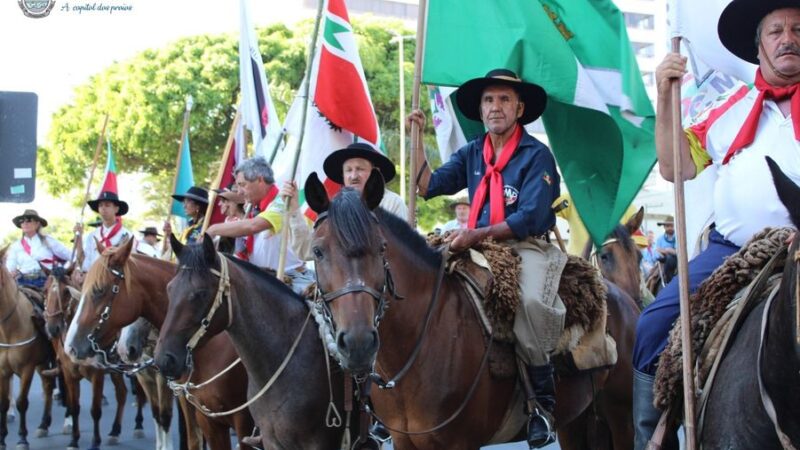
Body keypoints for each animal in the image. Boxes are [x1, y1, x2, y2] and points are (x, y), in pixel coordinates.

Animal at [0, 246, 57, 450]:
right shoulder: (3, 371)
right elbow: (4, 402)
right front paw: (3, 439)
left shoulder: (27, 369)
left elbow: (21, 402)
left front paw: (22, 439)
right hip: (42, 364)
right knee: (48, 386)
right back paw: (43, 424)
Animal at [42, 264, 128, 450]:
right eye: (45, 290)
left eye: (66, 292)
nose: (52, 328)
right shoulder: (69, 374)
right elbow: (75, 407)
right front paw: (74, 440)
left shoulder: (97, 375)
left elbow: (95, 410)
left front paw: (95, 442)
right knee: (122, 393)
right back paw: (115, 430)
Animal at [304, 172, 636, 450]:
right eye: (317, 251)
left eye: (381, 248)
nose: (358, 343)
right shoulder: (404, 441)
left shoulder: (460, 443)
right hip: (578, 420)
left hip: (621, 412)